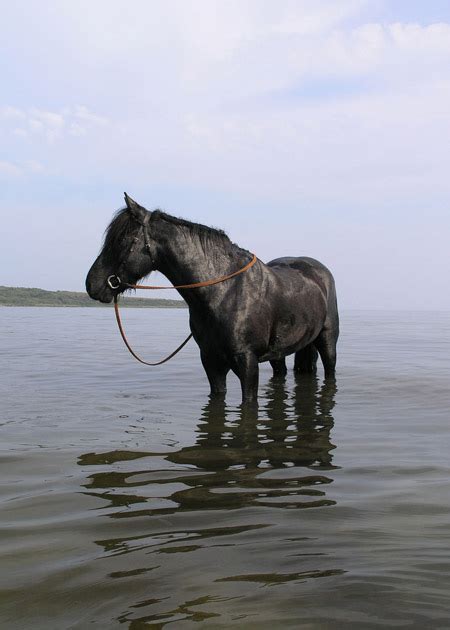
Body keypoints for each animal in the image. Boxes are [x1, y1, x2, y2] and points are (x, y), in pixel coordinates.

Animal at [85, 191, 338, 404]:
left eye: (121, 240)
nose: (92, 285)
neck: (224, 292)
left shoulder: (247, 363)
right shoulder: (211, 362)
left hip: (327, 343)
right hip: (279, 354)